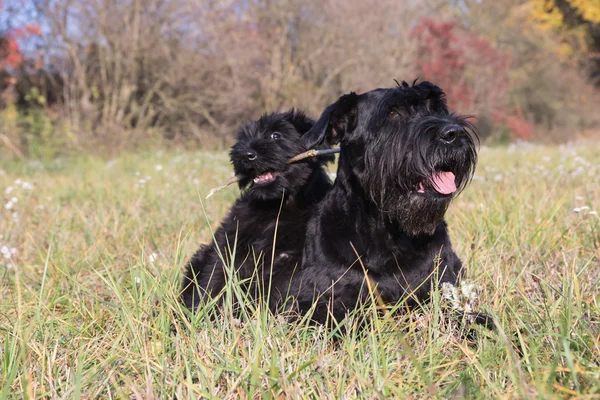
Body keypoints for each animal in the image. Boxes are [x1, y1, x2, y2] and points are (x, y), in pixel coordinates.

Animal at [180, 109, 336, 312]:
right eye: (244, 138)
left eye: (276, 135)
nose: (246, 155)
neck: (277, 205)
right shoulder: (229, 244)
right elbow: (214, 280)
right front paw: (201, 312)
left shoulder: (291, 259)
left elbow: (276, 289)